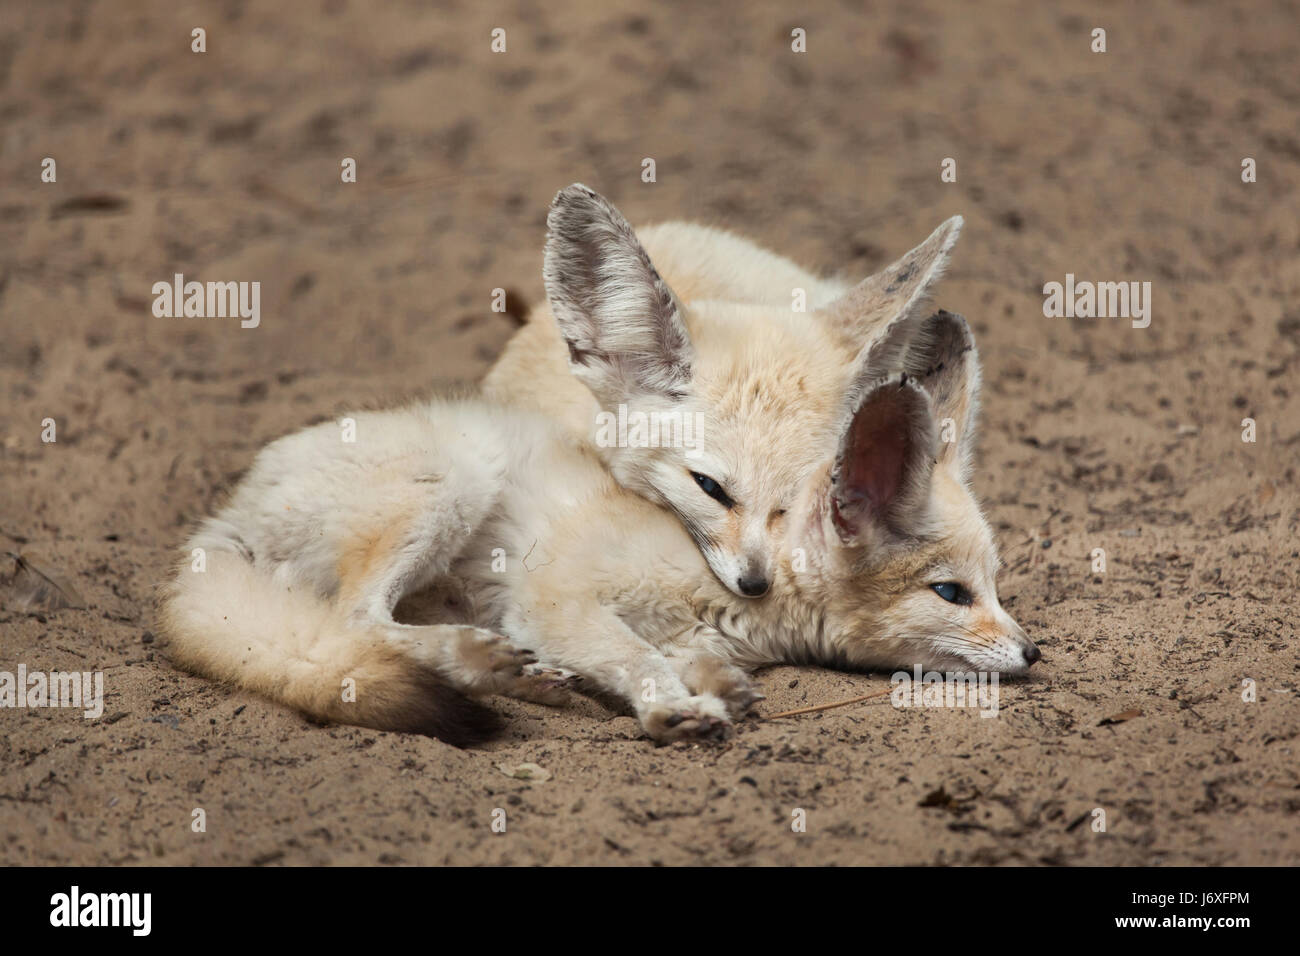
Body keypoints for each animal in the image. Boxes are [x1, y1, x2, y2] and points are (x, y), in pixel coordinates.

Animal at [159, 187, 1034, 743]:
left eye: (798, 498)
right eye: (952, 594)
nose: (1033, 653)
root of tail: (219, 520)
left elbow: (680, 652)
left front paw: (708, 683)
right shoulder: (555, 594)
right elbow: (631, 652)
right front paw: (670, 706)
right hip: (456, 480)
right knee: (355, 621)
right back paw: (483, 663)